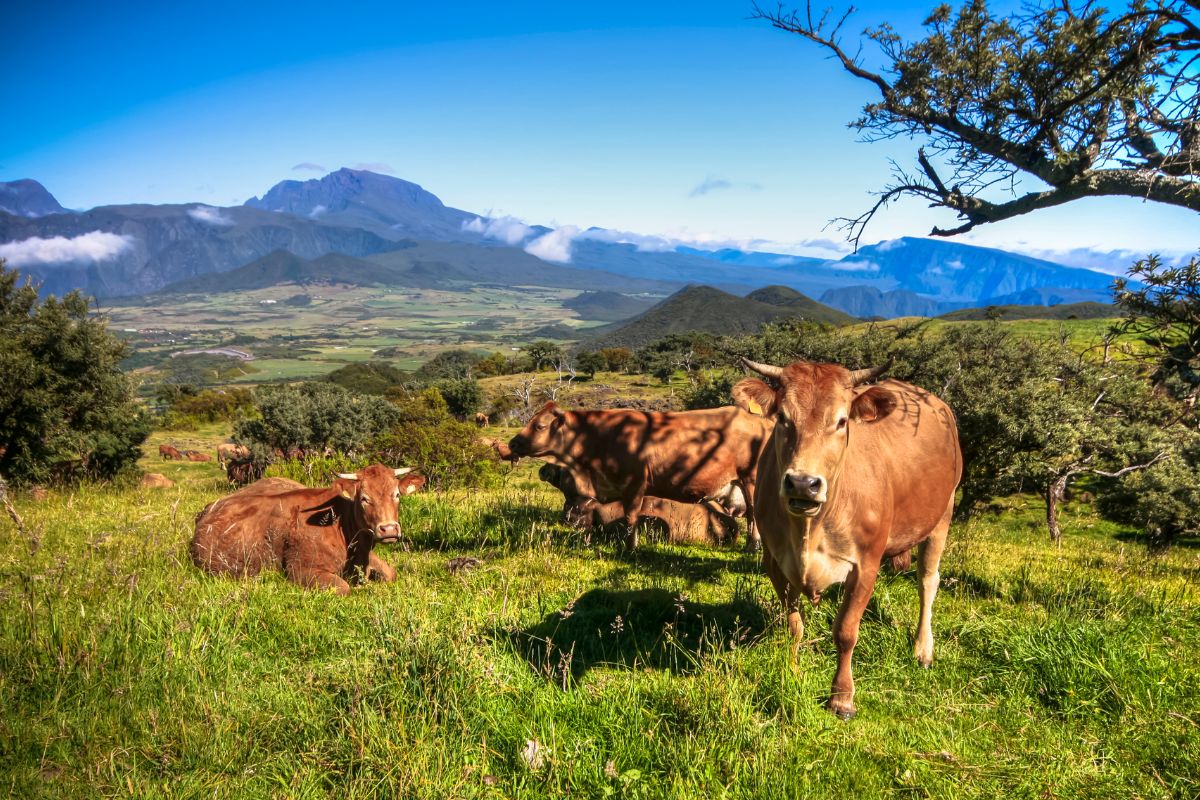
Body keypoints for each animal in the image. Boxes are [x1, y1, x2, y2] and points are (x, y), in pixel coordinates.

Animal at [192, 462, 427, 594]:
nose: (389, 529)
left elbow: (390, 573)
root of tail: (209, 509)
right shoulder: (300, 568)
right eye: (364, 498)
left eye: (396, 495)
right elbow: (342, 587)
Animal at [504, 400, 768, 551]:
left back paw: (752, 546)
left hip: (751, 480)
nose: (512, 443)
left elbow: (631, 517)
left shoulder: (634, 484)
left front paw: (630, 547)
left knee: (754, 513)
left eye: (539, 426)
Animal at [739, 359, 964, 724]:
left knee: (928, 582)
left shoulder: (865, 565)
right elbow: (793, 627)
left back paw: (923, 649)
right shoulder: (775, 562)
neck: (809, 528)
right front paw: (792, 672)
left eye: (842, 421)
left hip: (943, 513)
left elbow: (845, 631)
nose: (803, 483)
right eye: (783, 418)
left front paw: (842, 697)